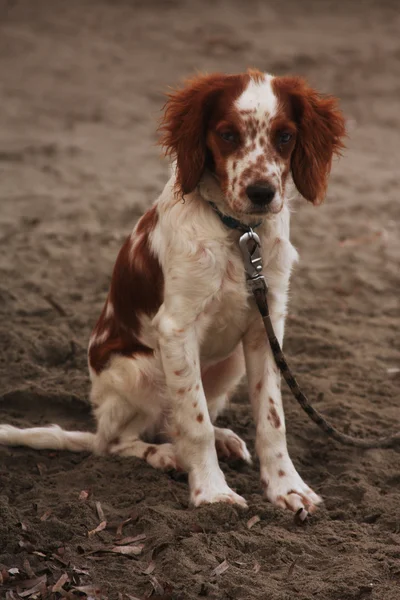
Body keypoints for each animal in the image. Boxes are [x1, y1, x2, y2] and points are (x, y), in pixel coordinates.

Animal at [0, 69, 344, 516]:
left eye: (285, 136)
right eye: (227, 135)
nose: (262, 193)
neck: (237, 232)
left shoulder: (265, 326)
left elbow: (272, 418)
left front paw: (287, 486)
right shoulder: (177, 328)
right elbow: (193, 422)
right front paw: (213, 492)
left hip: (228, 364)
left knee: (168, 422)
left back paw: (219, 440)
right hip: (140, 370)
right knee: (116, 442)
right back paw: (167, 456)